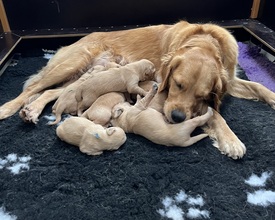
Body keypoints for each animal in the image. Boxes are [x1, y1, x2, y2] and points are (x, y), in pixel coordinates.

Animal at [0, 21, 275, 158]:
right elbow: (215, 114)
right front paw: (232, 140)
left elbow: (258, 86)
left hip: (79, 77)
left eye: (201, 94)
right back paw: (9, 108)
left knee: (49, 93)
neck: (205, 41)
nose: (176, 118)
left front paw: (271, 98)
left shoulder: (229, 79)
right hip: (73, 63)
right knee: (34, 87)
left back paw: (32, 111)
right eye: (178, 84)